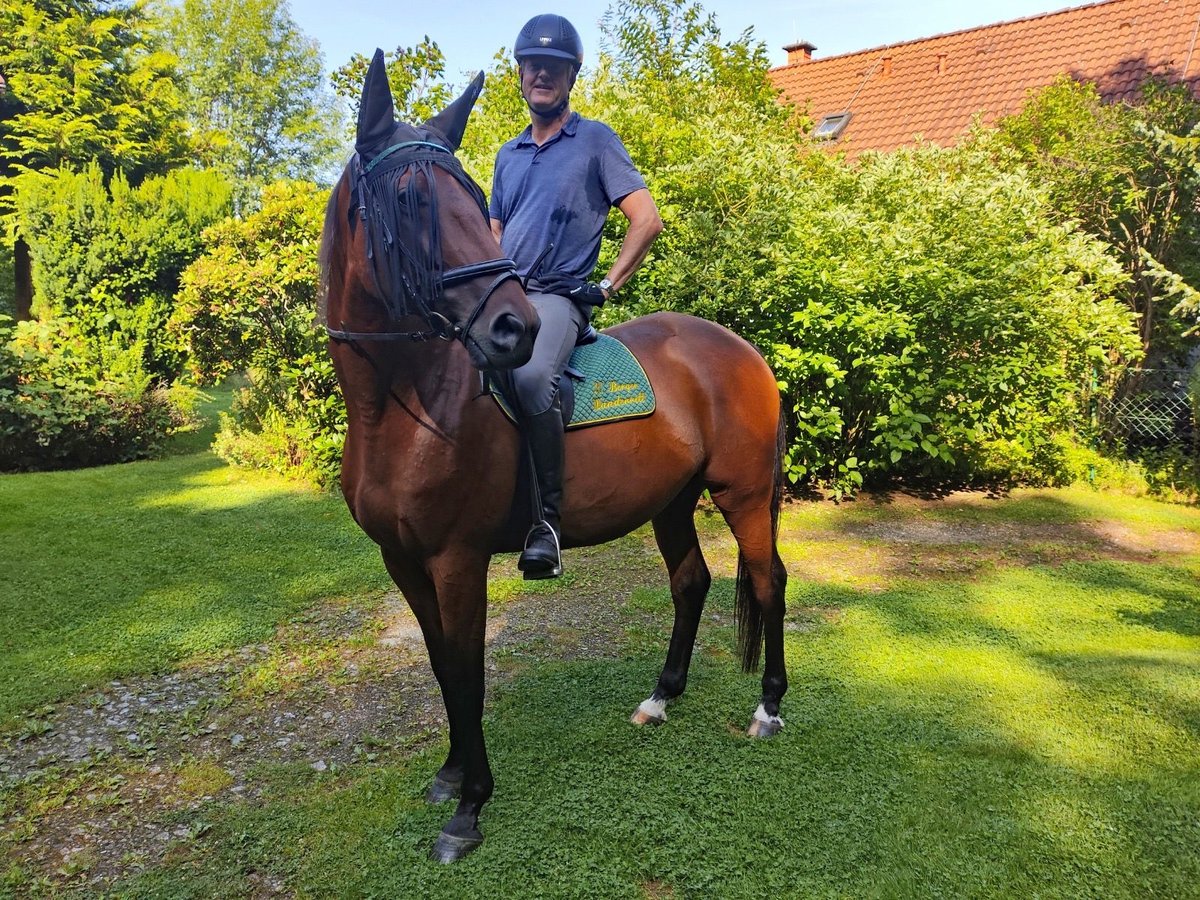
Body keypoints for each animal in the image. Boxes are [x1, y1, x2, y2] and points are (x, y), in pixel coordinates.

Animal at [321, 51, 787, 868]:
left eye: (471, 196)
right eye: (409, 199)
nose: (517, 328)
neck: (406, 408)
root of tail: (740, 349)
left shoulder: (457, 559)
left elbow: (468, 673)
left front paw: (469, 809)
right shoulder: (402, 561)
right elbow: (440, 664)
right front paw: (450, 776)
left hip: (746, 494)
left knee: (768, 582)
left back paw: (767, 709)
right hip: (672, 500)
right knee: (692, 583)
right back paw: (661, 697)